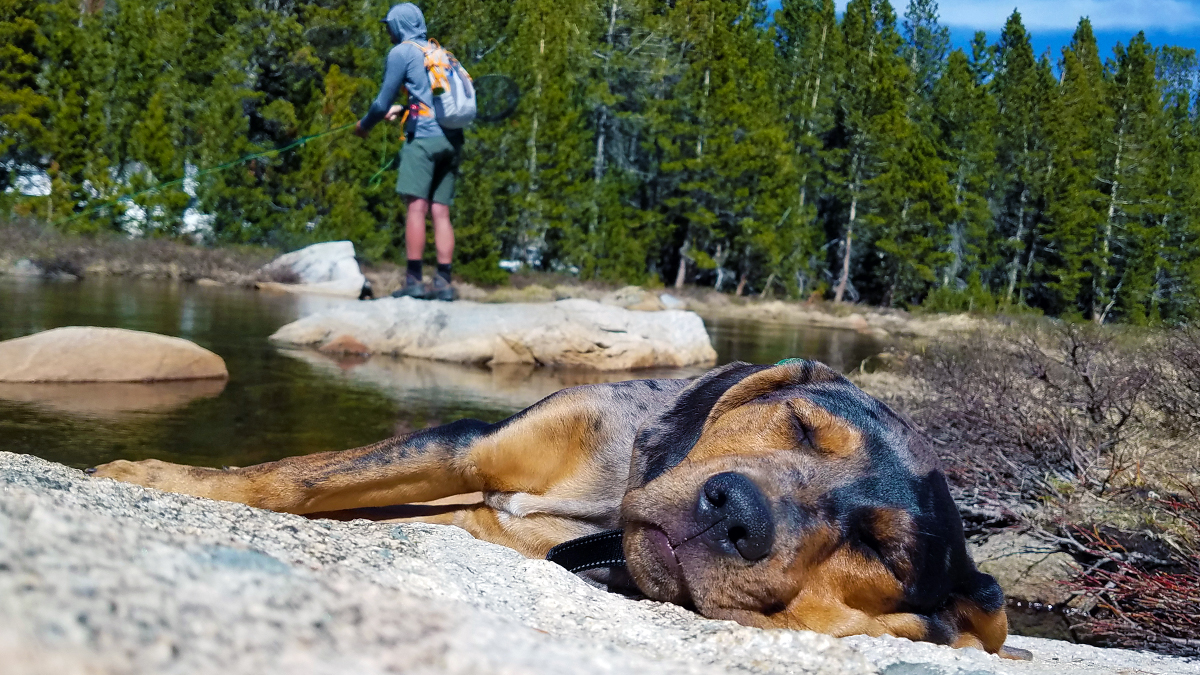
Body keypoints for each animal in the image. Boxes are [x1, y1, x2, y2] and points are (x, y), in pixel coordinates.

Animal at [91, 360, 1032, 658]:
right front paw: (160, 473)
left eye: (881, 549)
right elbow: (302, 477)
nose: (735, 510)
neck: (604, 516)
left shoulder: (484, 523)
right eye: (802, 424)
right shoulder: (473, 448)